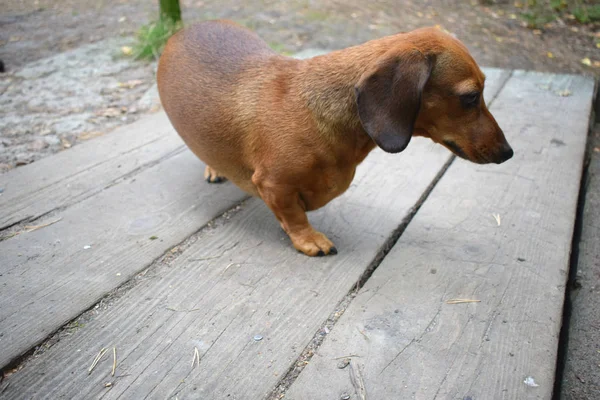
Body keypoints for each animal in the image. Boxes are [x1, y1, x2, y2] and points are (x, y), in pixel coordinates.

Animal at [156, 21, 510, 256]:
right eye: (470, 96)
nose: (508, 153)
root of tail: (186, 28)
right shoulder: (274, 184)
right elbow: (293, 214)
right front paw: (308, 240)